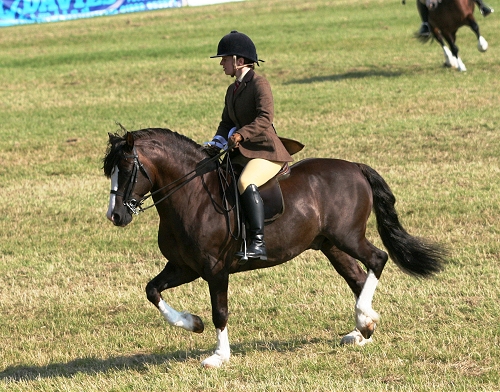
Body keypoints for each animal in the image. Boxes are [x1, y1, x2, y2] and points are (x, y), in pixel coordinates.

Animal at [102, 129, 446, 368]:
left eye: (127, 168)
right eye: (110, 170)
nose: (115, 216)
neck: (192, 196)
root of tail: (355, 167)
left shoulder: (215, 269)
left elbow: (220, 312)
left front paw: (219, 356)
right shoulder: (183, 267)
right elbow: (152, 290)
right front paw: (192, 323)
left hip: (348, 237)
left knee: (378, 259)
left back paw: (364, 321)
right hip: (331, 246)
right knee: (358, 279)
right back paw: (363, 329)